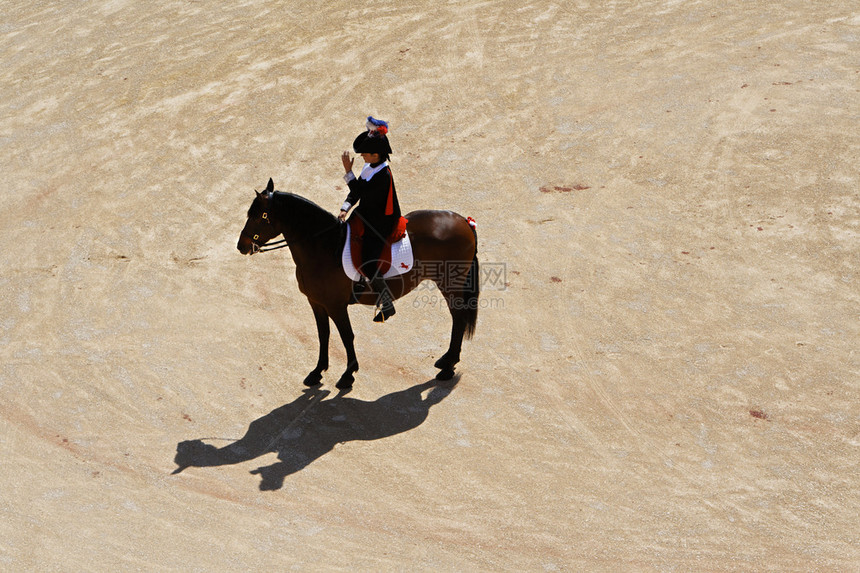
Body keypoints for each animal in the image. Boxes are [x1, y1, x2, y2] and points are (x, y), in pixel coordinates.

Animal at [237, 177, 478, 386]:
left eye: (259, 216)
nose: (241, 246)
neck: (324, 248)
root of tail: (464, 222)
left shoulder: (336, 306)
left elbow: (346, 336)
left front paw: (348, 374)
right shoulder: (316, 303)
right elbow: (323, 334)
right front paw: (318, 371)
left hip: (449, 285)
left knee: (458, 318)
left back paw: (448, 368)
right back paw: (447, 361)